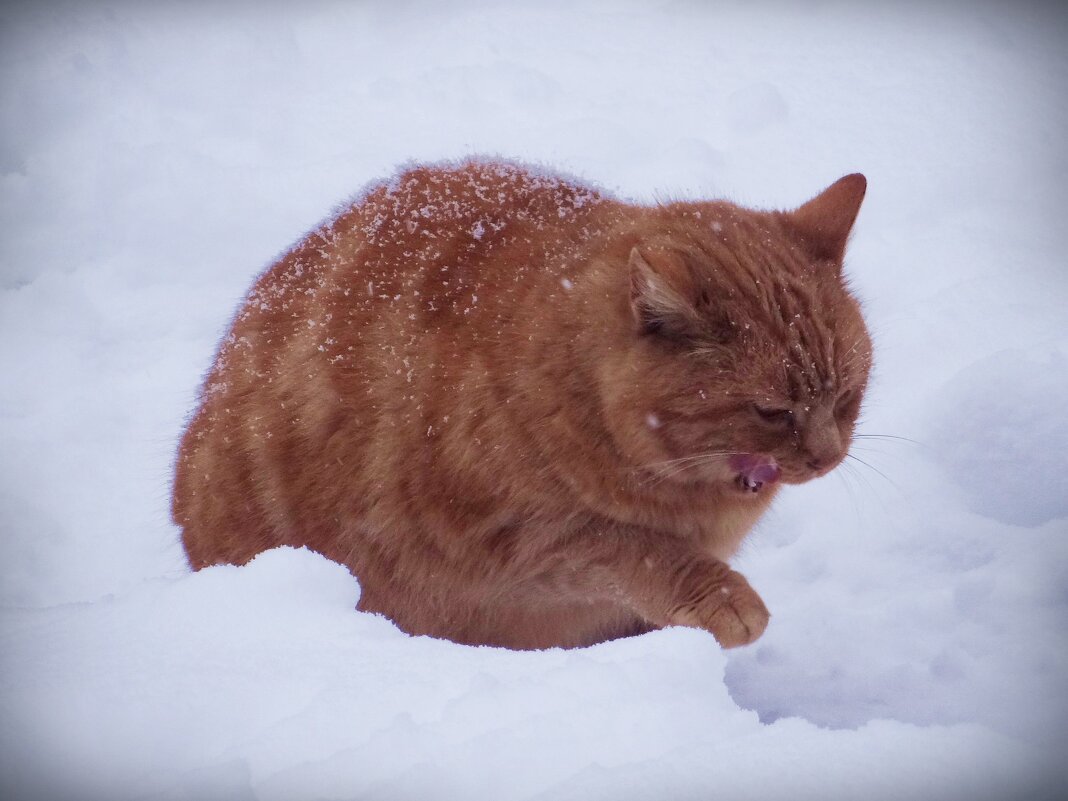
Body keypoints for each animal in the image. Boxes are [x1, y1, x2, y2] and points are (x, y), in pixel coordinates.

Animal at [175, 161, 871, 653]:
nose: (827, 456)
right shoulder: (513, 539)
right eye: (772, 411)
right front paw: (721, 597)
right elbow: (635, 547)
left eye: (846, 397)